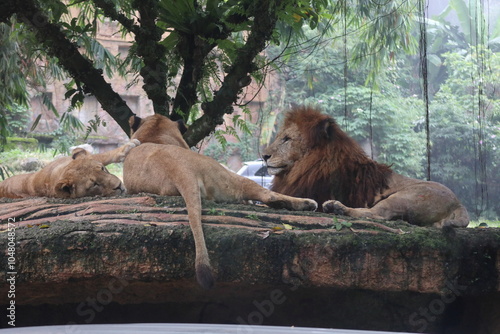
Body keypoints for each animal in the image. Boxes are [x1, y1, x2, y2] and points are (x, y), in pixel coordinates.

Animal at [264, 105, 470, 228]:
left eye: (287, 139)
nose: (264, 156)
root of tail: (459, 203)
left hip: (404, 197)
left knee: (376, 214)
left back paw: (337, 207)